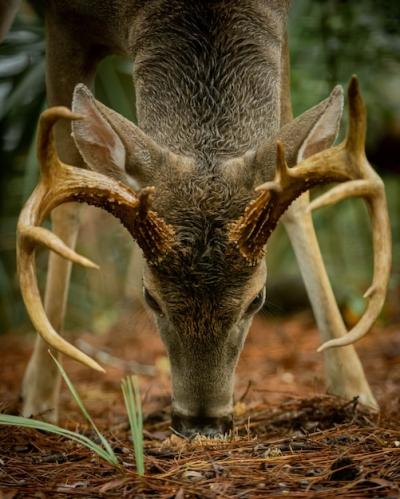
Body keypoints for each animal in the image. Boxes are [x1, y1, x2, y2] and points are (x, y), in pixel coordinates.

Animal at [3, 0, 390, 438]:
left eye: (257, 299)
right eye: (149, 297)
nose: (202, 423)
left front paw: (355, 390)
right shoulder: (65, 22)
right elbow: (67, 190)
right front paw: (39, 402)